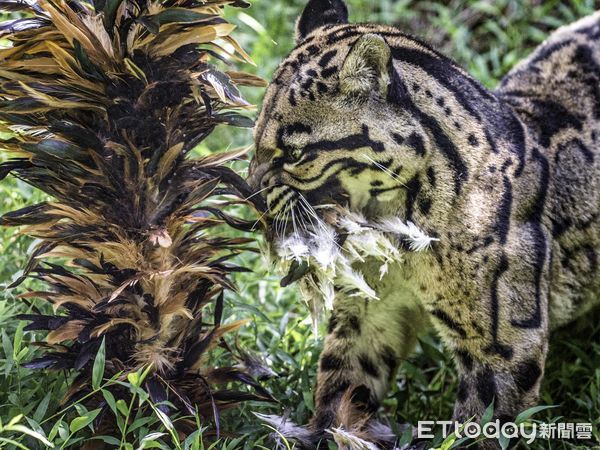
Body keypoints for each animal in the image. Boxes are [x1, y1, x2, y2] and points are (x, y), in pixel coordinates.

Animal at [246, 1, 596, 448]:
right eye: (254, 139)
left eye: (293, 153)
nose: (248, 194)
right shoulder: (367, 310)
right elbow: (342, 381)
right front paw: (329, 432)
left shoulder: (505, 345)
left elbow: (482, 425)